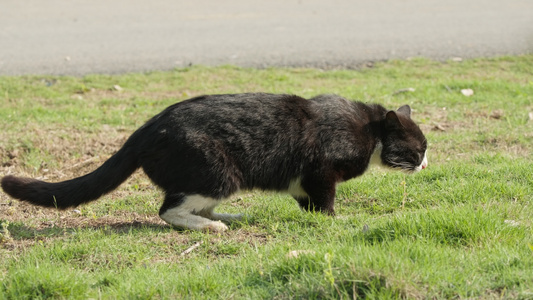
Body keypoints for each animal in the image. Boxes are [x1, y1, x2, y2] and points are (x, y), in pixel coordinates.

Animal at [0, 94, 426, 232]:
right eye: (418, 150)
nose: (424, 165)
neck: (371, 131)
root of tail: (145, 129)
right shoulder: (321, 170)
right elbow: (326, 201)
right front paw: (337, 220)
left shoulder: (302, 179)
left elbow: (308, 201)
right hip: (218, 171)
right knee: (169, 210)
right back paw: (210, 227)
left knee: (193, 204)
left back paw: (229, 217)